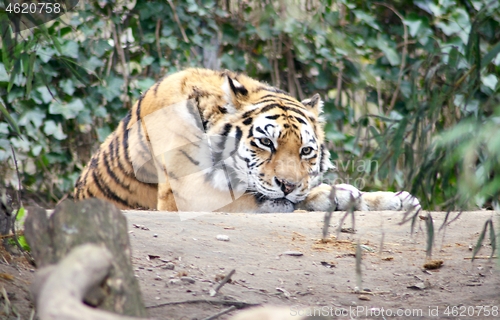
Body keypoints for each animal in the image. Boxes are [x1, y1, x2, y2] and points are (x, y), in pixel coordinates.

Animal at [73, 68, 418, 212]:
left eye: (306, 150)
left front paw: (391, 199)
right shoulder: (185, 196)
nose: (288, 185)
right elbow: (252, 197)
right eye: (266, 143)